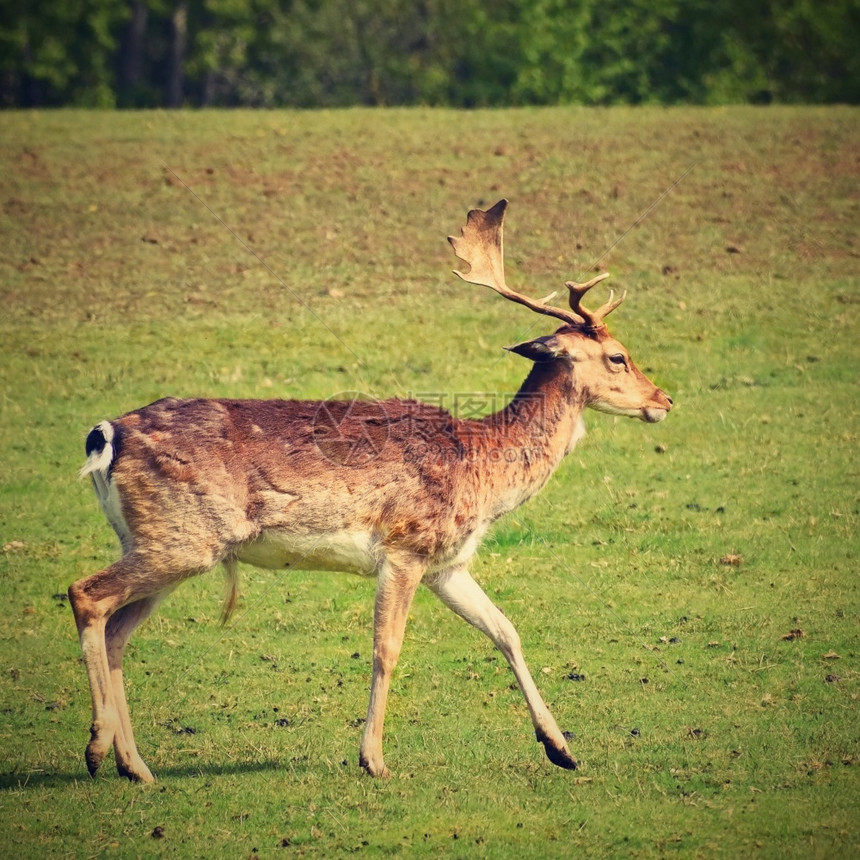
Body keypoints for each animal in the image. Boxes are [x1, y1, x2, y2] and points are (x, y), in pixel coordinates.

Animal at [69, 200, 672, 780]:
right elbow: (388, 648)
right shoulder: (405, 546)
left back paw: (135, 767)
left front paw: (561, 749)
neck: (482, 471)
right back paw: (97, 749)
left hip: (160, 542)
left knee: (118, 631)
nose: (664, 399)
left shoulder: (447, 563)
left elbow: (507, 631)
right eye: (618, 356)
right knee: (86, 594)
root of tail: (105, 436)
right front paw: (374, 759)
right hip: (182, 538)